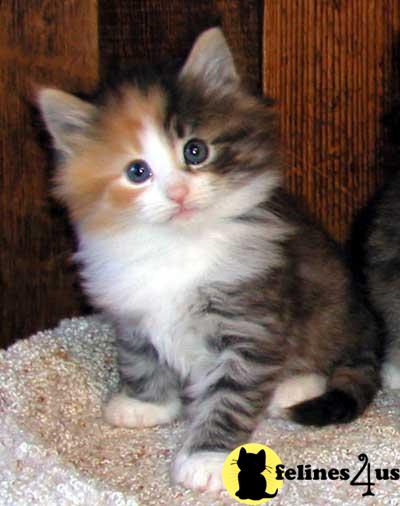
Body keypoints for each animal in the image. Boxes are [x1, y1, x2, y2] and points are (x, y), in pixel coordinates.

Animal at [36, 28, 378, 494]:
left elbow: (231, 395)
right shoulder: (130, 311)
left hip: (330, 304)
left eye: (195, 151)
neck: (179, 246)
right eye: (137, 172)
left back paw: (293, 385)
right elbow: (139, 357)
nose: (179, 192)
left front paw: (208, 457)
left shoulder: (249, 323)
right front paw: (147, 403)